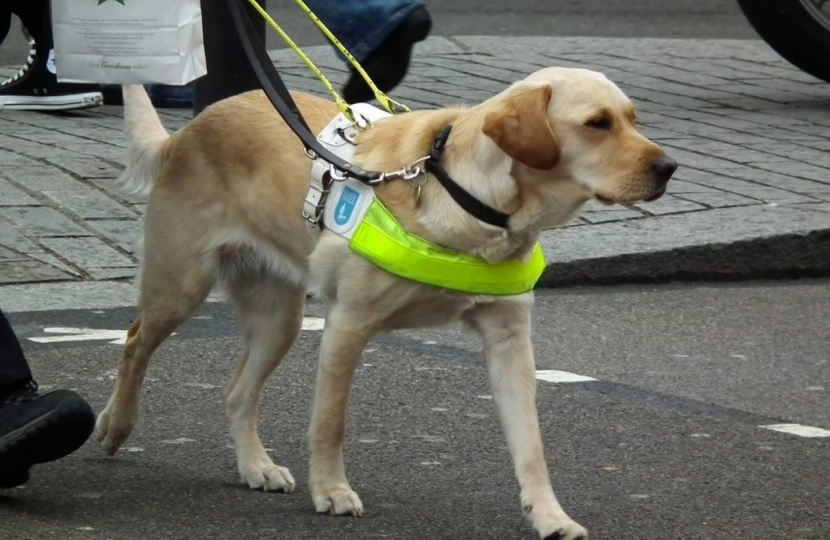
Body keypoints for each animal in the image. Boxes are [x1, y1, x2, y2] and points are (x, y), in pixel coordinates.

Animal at [99, 68, 676, 540]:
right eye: (597, 123)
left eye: (632, 118)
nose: (669, 167)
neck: (470, 200)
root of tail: (191, 128)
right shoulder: (347, 326)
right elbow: (330, 422)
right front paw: (331, 491)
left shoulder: (510, 341)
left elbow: (530, 444)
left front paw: (550, 516)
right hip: (180, 287)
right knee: (134, 343)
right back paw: (116, 424)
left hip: (278, 317)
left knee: (236, 391)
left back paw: (255, 466)